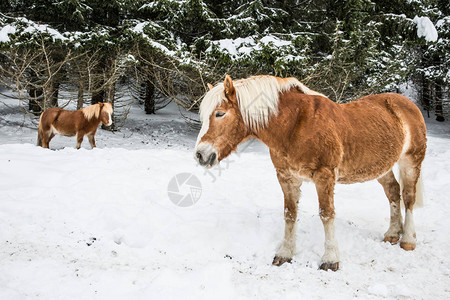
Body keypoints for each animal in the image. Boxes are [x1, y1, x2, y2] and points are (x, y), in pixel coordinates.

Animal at [193, 75, 426, 272]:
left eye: (220, 113)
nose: (200, 155)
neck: (295, 125)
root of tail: (407, 104)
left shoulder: (324, 177)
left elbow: (326, 214)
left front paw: (330, 259)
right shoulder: (286, 178)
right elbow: (290, 214)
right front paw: (285, 253)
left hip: (410, 161)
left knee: (408, 197)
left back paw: (408, 240)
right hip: (381, 167)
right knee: (393, 192)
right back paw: (392, 234)